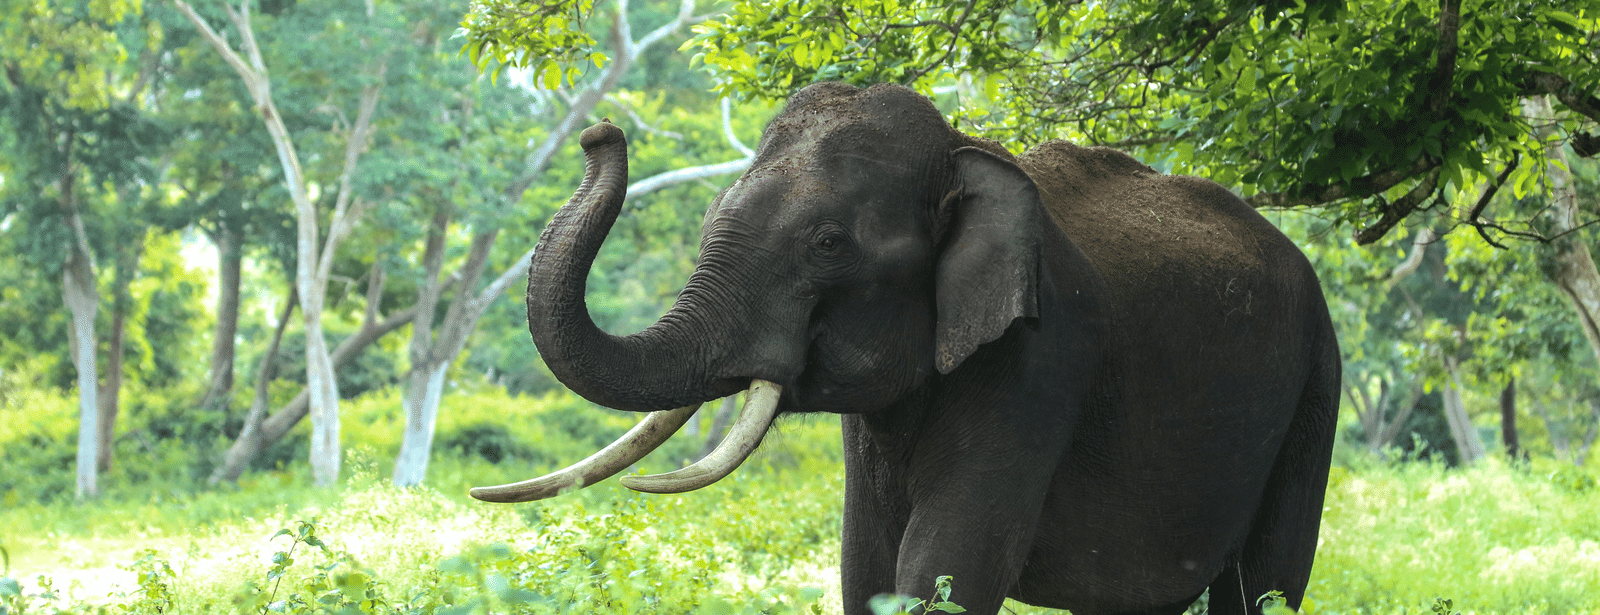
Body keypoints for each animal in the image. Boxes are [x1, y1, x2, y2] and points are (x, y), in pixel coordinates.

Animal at [472, 82, 1340, 615]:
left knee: (1264, 586)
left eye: (827, 244)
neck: (965, 150)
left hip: (1316, 384)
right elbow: (868, 566)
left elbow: (945, 565)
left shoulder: (1041, 357)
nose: (600, 130)